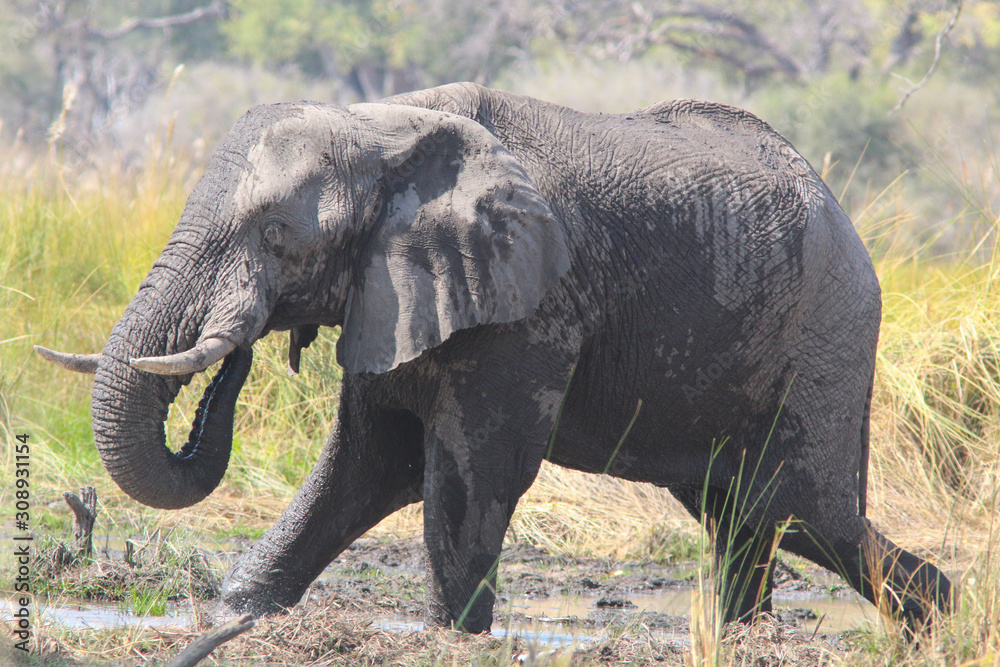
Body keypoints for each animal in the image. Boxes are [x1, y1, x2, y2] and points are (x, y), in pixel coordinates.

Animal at [38, 82, 951, 635]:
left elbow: (473, 470)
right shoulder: (397, 288)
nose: (230, 356)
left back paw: (950, 613)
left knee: (801, 509)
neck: (380, 124)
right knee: (737, 515)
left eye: (276, 235)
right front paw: (238, 616)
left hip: (826, 330)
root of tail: (846, 217)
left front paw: (453, 635)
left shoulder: (530, 306)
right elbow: (364, 464)